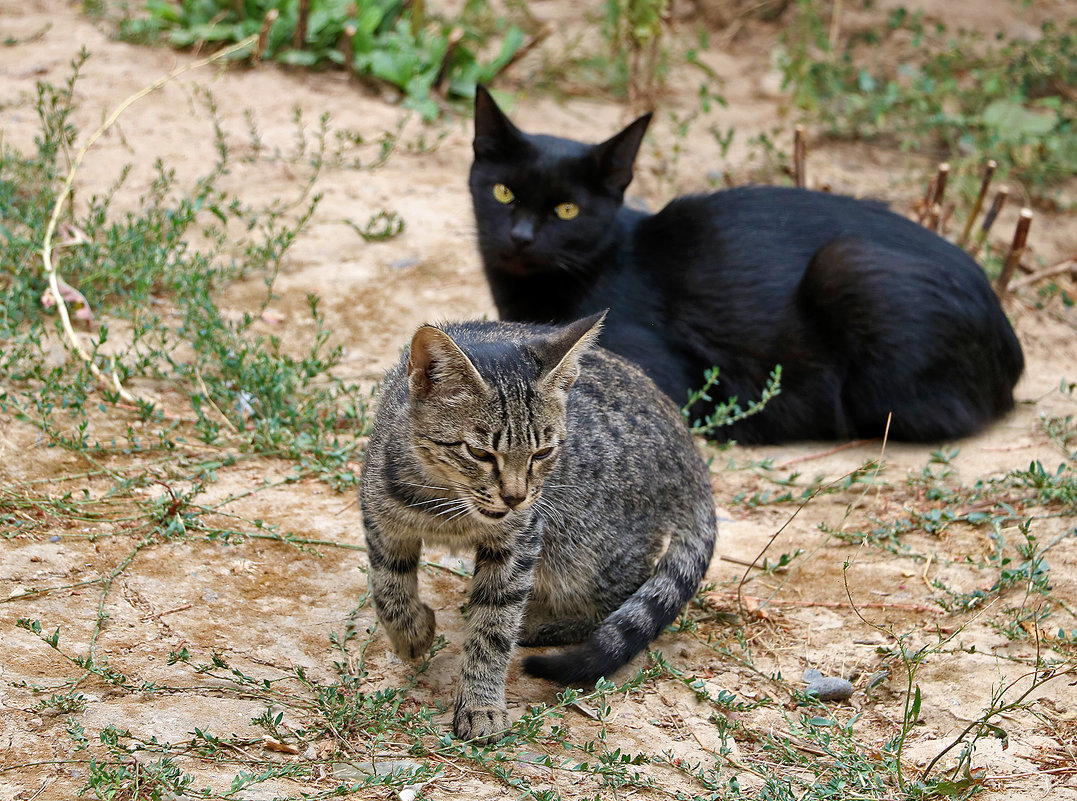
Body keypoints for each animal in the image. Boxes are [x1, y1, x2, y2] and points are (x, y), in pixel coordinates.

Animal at [357, 312, 719, 745]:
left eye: (543, 453)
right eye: (479, 453)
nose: (515, 496)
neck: (449, 506)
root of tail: (692, 456)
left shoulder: (521, 538)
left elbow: (494, 627)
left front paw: (481, 704)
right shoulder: (380, 517)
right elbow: (387, 587)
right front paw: (410, 634)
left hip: (582, 547)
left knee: (621, 594)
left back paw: (540, 623)